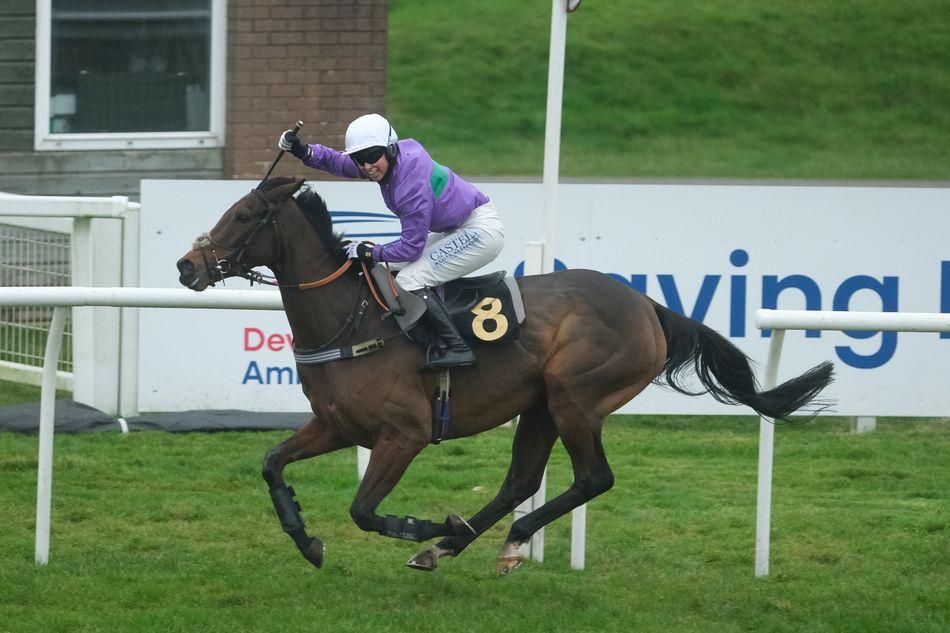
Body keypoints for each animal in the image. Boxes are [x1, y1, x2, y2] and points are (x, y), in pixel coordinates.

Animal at [178, 178, 832, 572]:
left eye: (243, 215)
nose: (187, 266)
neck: (353, 318)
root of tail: (649, 306)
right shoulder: (338, 426)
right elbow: (272, 463)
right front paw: (307, 540)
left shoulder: (404, 433)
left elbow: (364, 510)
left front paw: (422, 524)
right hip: (539, 404)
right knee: (520, 482)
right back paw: (459, 542)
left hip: (575, 397)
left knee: (593, 478)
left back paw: (477, 538)